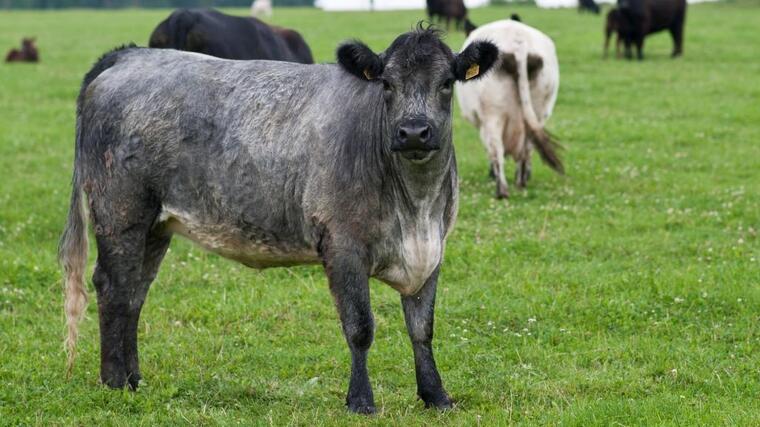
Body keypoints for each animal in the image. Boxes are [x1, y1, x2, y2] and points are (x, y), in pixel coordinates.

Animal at [59, 25, 498, 414]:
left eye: (447, 83)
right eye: (387, 84)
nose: (413, 132)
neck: (415, 208)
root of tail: (131, 55)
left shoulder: (431, 249)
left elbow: (422, 328)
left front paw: (436, 396)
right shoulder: (343, 247)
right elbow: (360, 328)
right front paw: (360, 401)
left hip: (155, 225)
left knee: (135, 292)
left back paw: (134, 378)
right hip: (121, 212)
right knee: (113, 287)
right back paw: (114, 381)